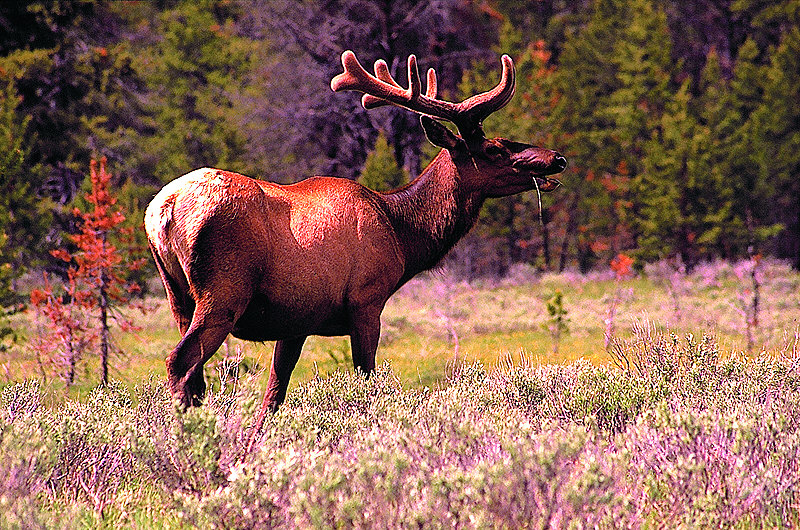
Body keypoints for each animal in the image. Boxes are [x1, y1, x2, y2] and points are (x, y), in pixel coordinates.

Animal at [145, 49, 568, 412]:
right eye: (495, 149)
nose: (557, 159)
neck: (402, 235)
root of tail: (162, 211)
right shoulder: (367, 300)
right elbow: (366, 377)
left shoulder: (296, 318)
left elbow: (274, 394)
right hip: (224, 290)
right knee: (180, 364)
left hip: (178, 295)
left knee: (193, 374)